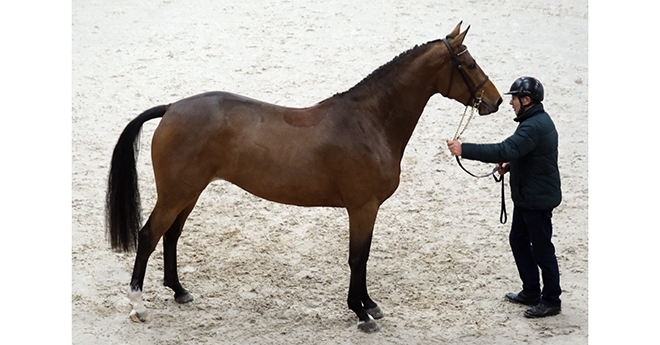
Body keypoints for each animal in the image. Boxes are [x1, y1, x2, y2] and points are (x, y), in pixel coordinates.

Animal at [107, 22, 500, 330]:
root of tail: (172, 107)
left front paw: (369, 305)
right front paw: (361, 312)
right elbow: (358, 258)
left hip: (189, 193)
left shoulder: (367, 209)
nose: (495, 101)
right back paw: (138, 306)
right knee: (149, 236)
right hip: (176, 194)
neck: (369, 122)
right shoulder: (363, 207)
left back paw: (179, 291)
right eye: (468, 63)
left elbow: (363, 256)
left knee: (171, 236)